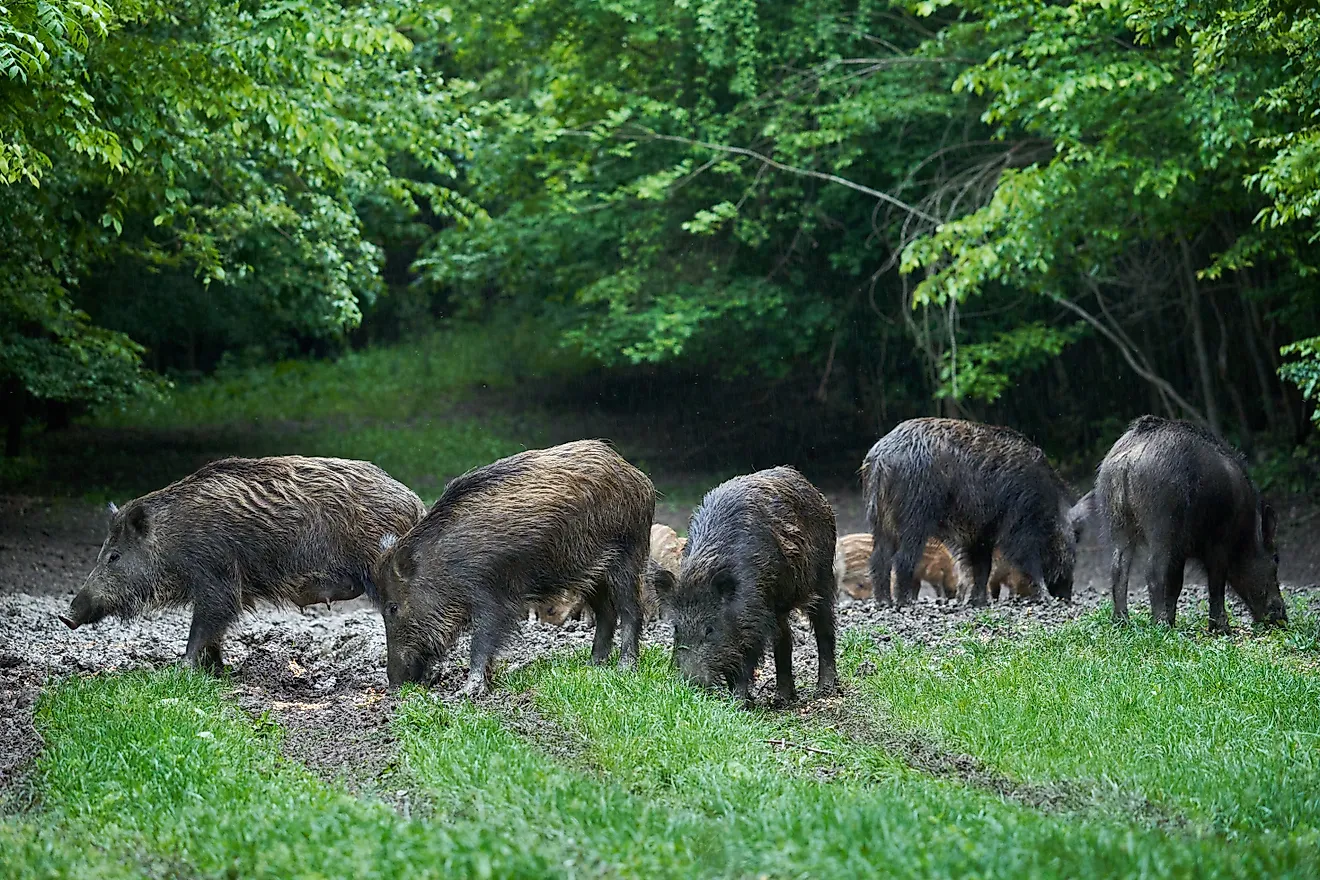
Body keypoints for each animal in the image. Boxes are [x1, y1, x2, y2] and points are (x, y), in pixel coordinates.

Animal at [62, 456, 426, 672]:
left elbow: (206, 623)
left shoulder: (217, 577)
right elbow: (213, 631)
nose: (67, 616)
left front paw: (181, 669)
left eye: (114, 556)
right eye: (102, 552)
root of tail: (416, 503)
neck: (173, 540)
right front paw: (217, 670)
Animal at [374, 440, 654, 696]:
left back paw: (625, 668)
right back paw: (593, 665)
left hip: (628, 555)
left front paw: (468, 692)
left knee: (631, 610)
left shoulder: (492, 595)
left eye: (393, 607)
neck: (447, 565)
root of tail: (638, 477)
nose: (395, 684)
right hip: (590, 574)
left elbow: (482, 640)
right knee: (606, 612)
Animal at [654, 466, 837, 706]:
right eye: (676, 629)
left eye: (710, 629)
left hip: (823, 576)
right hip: (778, 606)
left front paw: (739, 702)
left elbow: (744, 659)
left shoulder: (753, 618)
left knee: (824, 629)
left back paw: (825, 689)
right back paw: (782, 699)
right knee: (784, 639)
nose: (691, 684)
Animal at [863, 418, 1077, 607]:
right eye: (1069, 550)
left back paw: (884, 602)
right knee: (902, 558)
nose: (1066, 596)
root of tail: (881, 459)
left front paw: (978, 602)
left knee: (879, 559)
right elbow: (1026, 558)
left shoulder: (979, 534)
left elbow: (982, 566)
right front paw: (1046, 598)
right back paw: (904, 602)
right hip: (915, 515)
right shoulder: (1018, 522)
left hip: (881, 519)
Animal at [1095, 416, 1286, 631]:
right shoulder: (1219, 541)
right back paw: (1159, 624)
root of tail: (1127, 460)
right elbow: (1215, 581)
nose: (1282, 617)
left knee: (1118, 568)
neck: (1245, 533)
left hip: (1118, 523)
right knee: (1153, 571)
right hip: (1161, 524)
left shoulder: (1181, 550)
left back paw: (1122, 622)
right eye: (1276, 558)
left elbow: (1176, 583)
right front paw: (1221, 629)